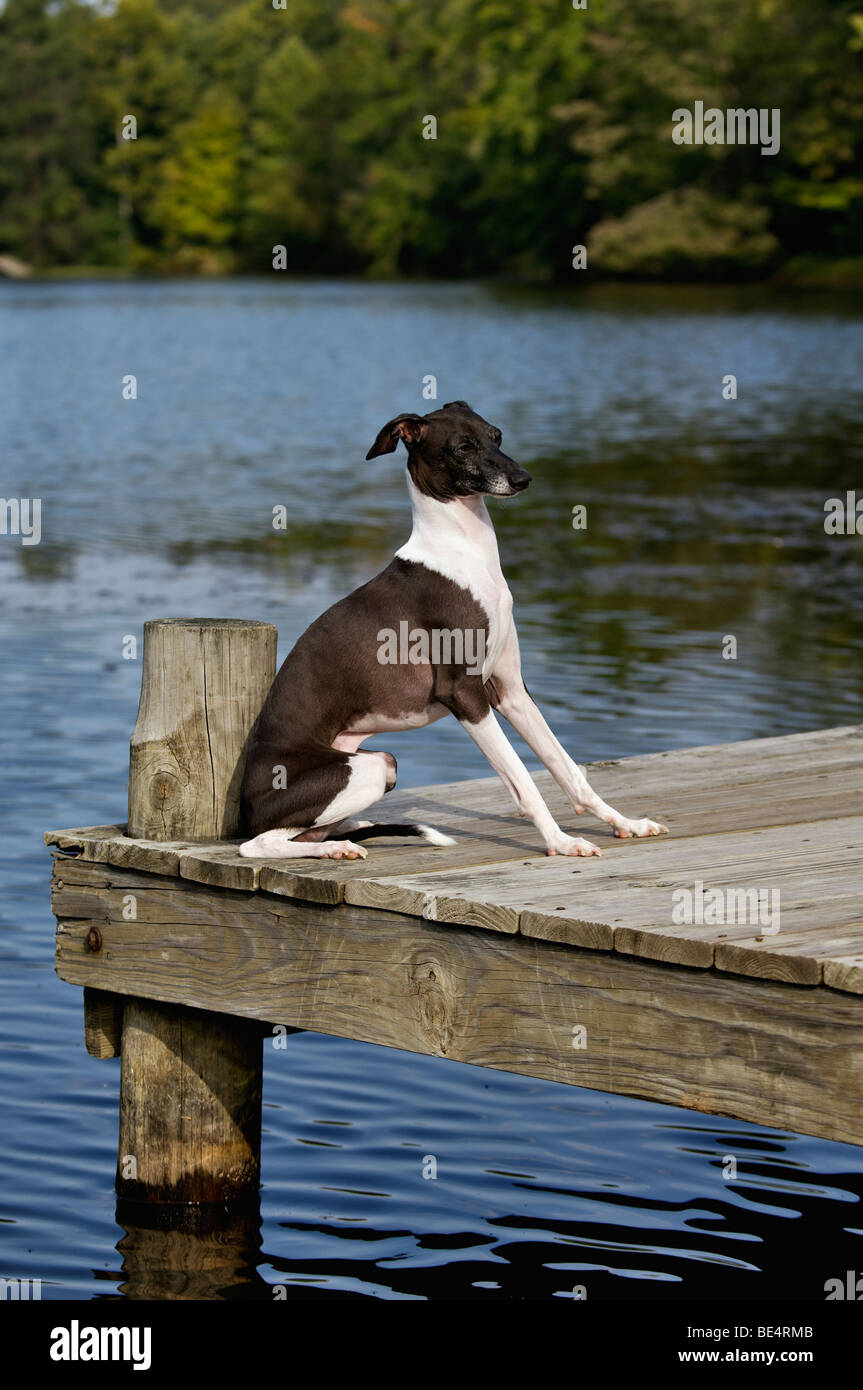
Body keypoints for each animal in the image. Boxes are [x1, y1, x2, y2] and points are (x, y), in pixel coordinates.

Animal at [239, 403, 669, 856]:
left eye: (497, 436)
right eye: (462, 447)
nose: (522, 478)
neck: (464, 554)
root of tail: (246, 808)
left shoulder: (510, 690)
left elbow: (565, 766)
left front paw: (625, 822)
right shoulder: (464, 694)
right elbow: (523, 780)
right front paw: (561, 841)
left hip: (380, 765)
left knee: (311, 828)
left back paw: (350, 830)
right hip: (360, 772)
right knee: (259, 843)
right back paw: (333, 848)